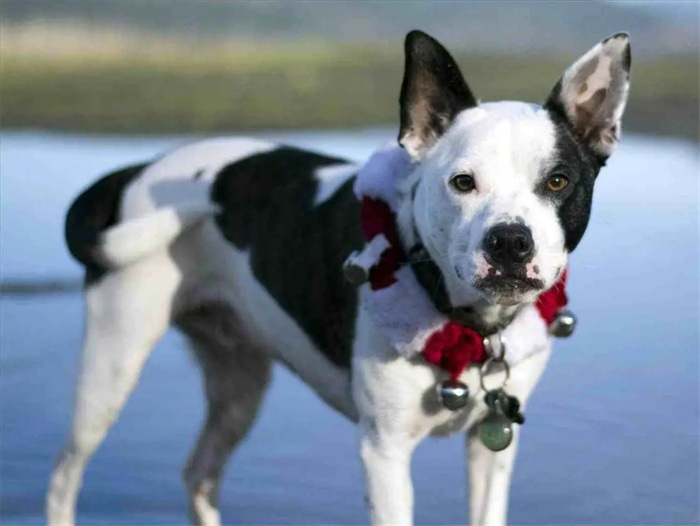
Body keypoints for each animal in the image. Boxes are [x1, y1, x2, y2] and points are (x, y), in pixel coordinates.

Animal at [46, 31, 632, 524]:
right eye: (462, 183)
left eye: (558, 182)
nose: (510, 241)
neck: (469, 322)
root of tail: (139, 168)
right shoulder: (384, 453)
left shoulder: (493, 448)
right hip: (111, 365)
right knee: (64, 476)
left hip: (238, 383)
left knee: (198, 474)